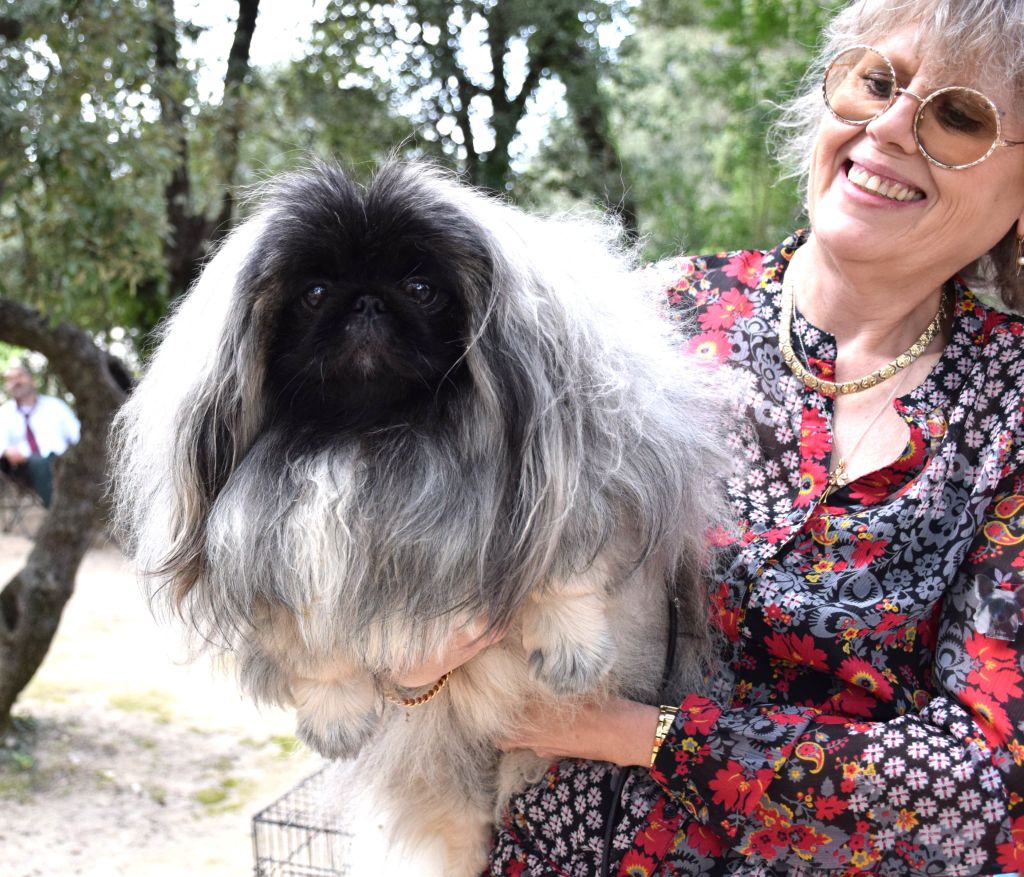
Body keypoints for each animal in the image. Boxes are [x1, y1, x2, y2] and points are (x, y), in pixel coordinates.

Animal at [111, 161, 732, 875]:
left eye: (421, 289)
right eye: (315, 292)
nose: (367, 302)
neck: (377, 437)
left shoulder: (576, 489)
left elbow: (566, 576)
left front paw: (570, 649)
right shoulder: (285, 551)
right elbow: (318, 648)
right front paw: (336, 717)